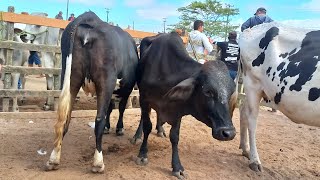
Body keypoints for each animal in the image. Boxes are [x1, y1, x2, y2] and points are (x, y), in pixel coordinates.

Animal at [45, 11, 138, 172]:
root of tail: (90, 19)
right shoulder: (126, 88)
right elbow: (120, 108)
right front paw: (119, 128)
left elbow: (110, 108)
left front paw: (110, 127)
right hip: (105, 80)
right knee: (98, 120)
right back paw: (98, 162)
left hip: (71, 77)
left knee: (64, 119)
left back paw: (54, 158)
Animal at [131, 32, 238, 179]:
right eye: (207, 91)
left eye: (231, 92)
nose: (229, 133)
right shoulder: (145, 100)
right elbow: (147, 126)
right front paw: (142, 154)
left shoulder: (177, 110)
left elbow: (175, 137)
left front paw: (177, 167)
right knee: (143, 118)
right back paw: (137, 136)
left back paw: (160, 130)